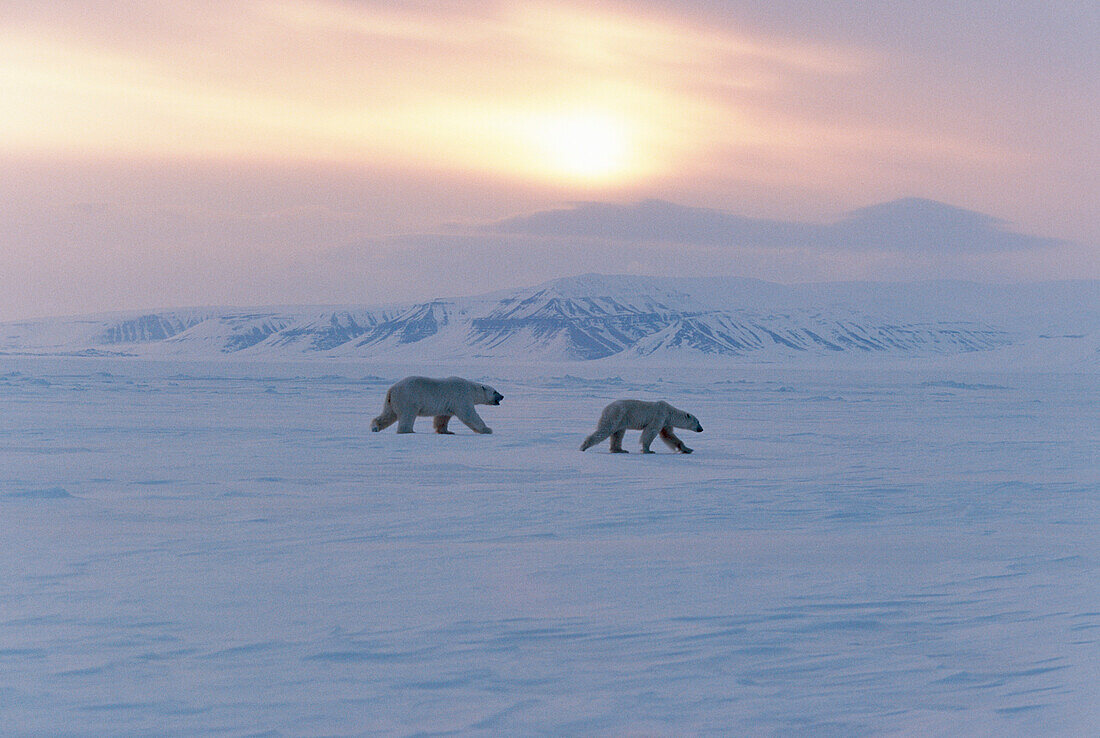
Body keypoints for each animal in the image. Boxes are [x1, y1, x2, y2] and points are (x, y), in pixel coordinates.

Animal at [371, 376, 503, 433]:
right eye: (495, 391)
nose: (502, 396)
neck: (471, 389)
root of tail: (392, 389)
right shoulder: (461, 396)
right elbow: (469, 414)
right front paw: (487, 429)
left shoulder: (448, 404)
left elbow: (442, 417)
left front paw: (446, 431)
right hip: (408, 398)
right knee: (407, 415)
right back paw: (408, 430)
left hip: (391, 401)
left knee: (388, 414)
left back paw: (375, 427)